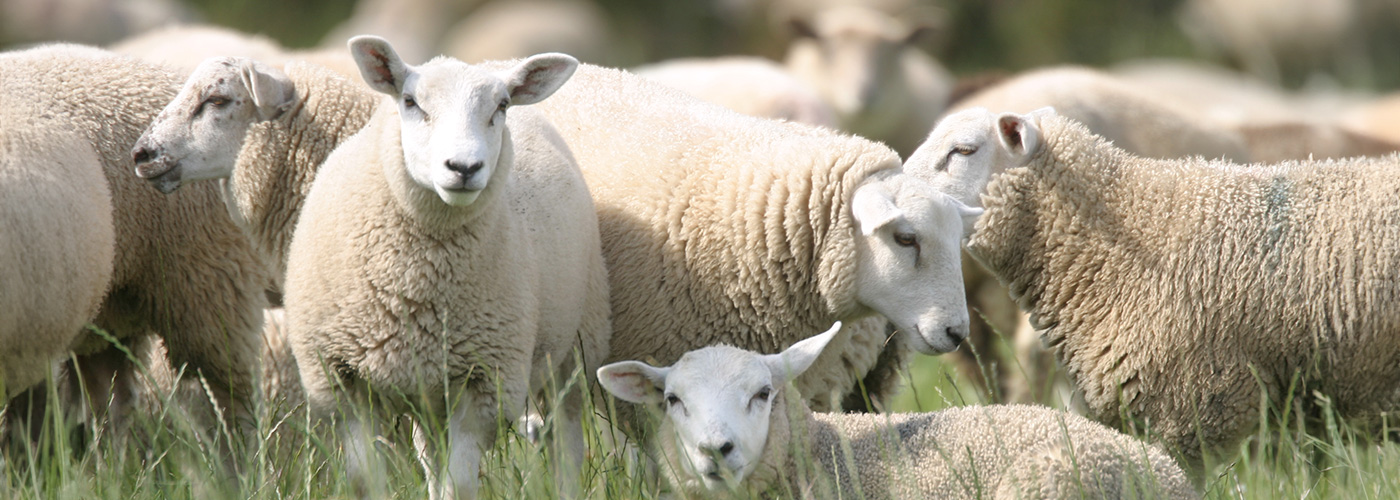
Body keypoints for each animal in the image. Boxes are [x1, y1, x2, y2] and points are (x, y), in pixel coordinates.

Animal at [282, 37, 610, 499]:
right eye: (410, 101)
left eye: (502, 105)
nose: (464, 168)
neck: (415, 280)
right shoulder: (342, 381)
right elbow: (367, 480)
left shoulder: (485, 382)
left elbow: (460, 485)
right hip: (429, 390)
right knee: (430, 455)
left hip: (575, 353)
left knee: (566, 445)